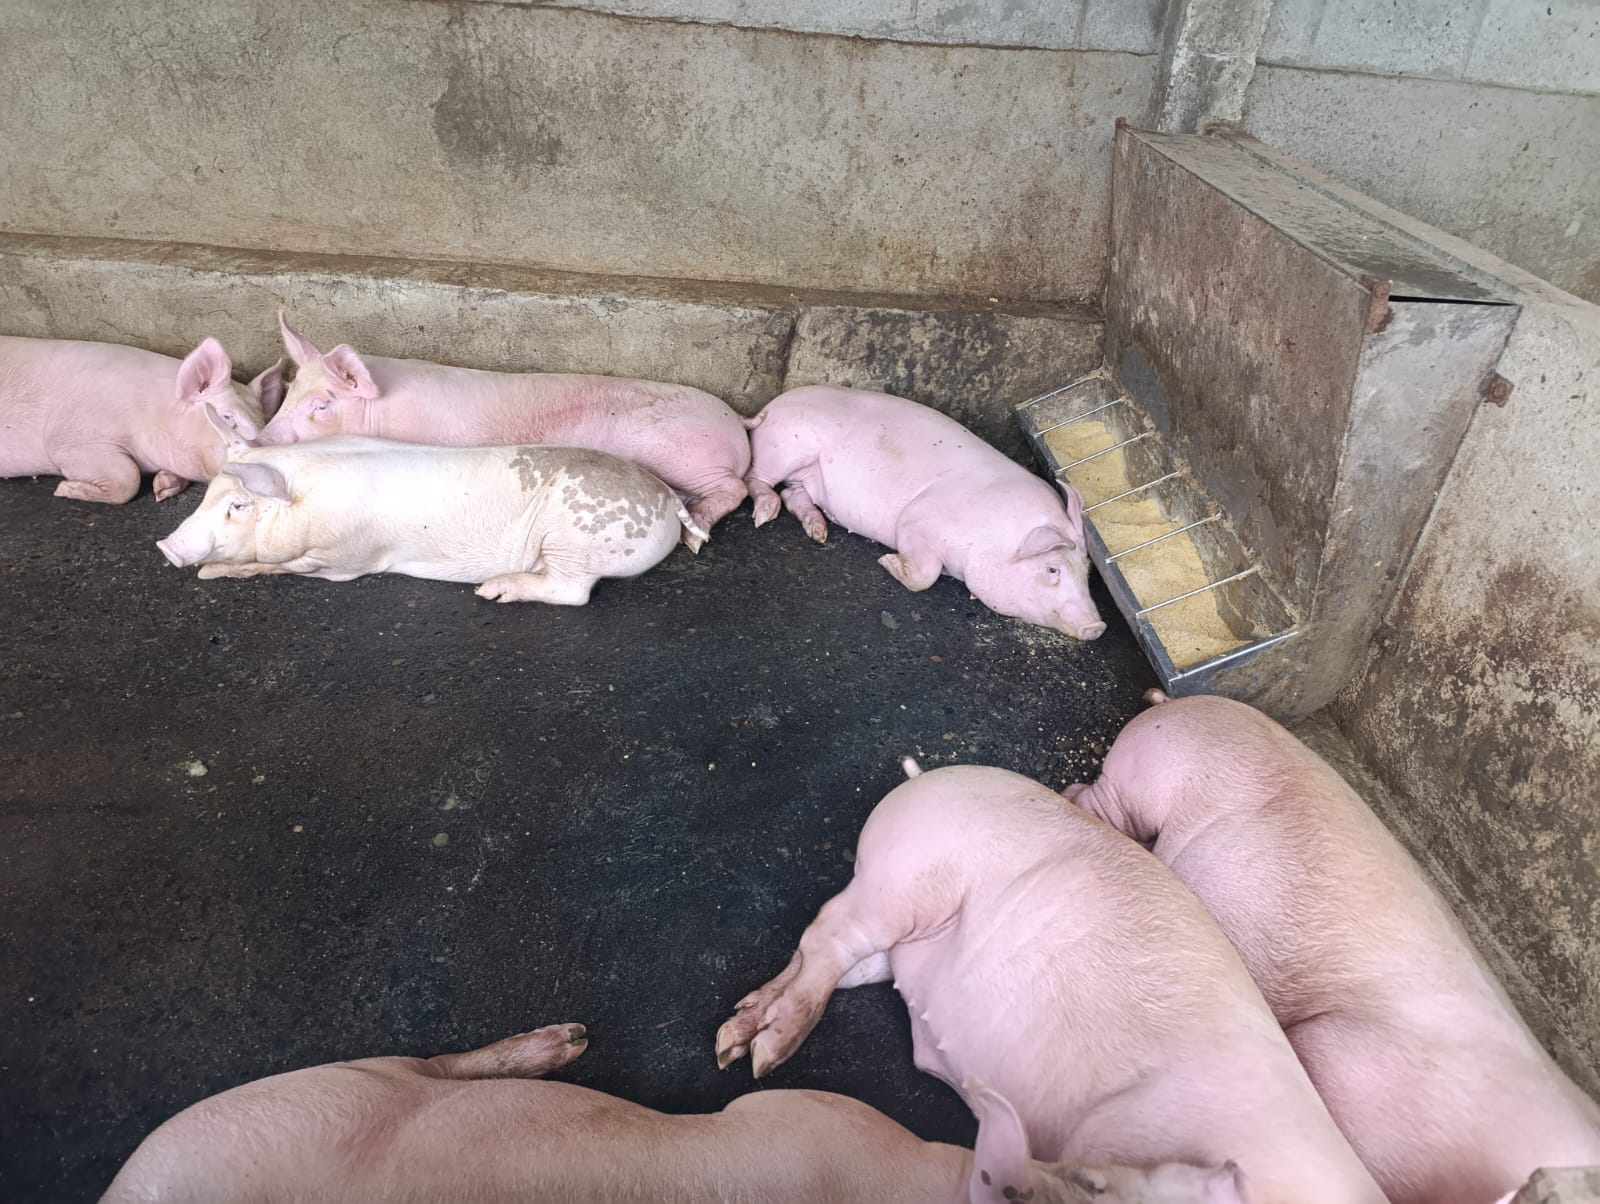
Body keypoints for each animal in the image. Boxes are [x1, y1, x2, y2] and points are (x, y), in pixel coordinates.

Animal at [0, 334, 284, 503]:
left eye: (263, 420)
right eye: (227, 417)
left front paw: (161, 488)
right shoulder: (71, 439)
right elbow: (129, 478)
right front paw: (64, 489)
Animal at [156, 414, 704, 603]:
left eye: (239, 504)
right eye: (207, 493)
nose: (166, 545)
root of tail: (667, 498)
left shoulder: (344, 559)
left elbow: (282, 567)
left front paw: (208, 574)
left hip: (575, 536)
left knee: (573, 591)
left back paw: (492, 591)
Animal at [260, 313, 752, 533]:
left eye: (321, 406)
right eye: (291, 389)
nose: (262, 437)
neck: (381, 409)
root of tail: (738, 425)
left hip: (686, 457)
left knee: (736, 489)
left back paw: (697, 530)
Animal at [716, 760, 1383, 1204]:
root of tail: (924, 777)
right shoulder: (1114, 1133)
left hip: (895, 936)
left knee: (824, 958)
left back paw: (735, 1040)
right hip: (901, 881)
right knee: (825, 935)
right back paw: (764, 1055)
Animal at [743, 386, 1105, 639]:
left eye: (1087, 572)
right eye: (1052, 569)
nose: (1097, 626)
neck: (997, 541)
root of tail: (773, 404)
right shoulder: (917, 520)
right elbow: (924, 575)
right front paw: (886, 561)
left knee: (793, 494)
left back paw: (819, 532)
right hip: (785, 445)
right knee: (755, 480)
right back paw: (764, 516)